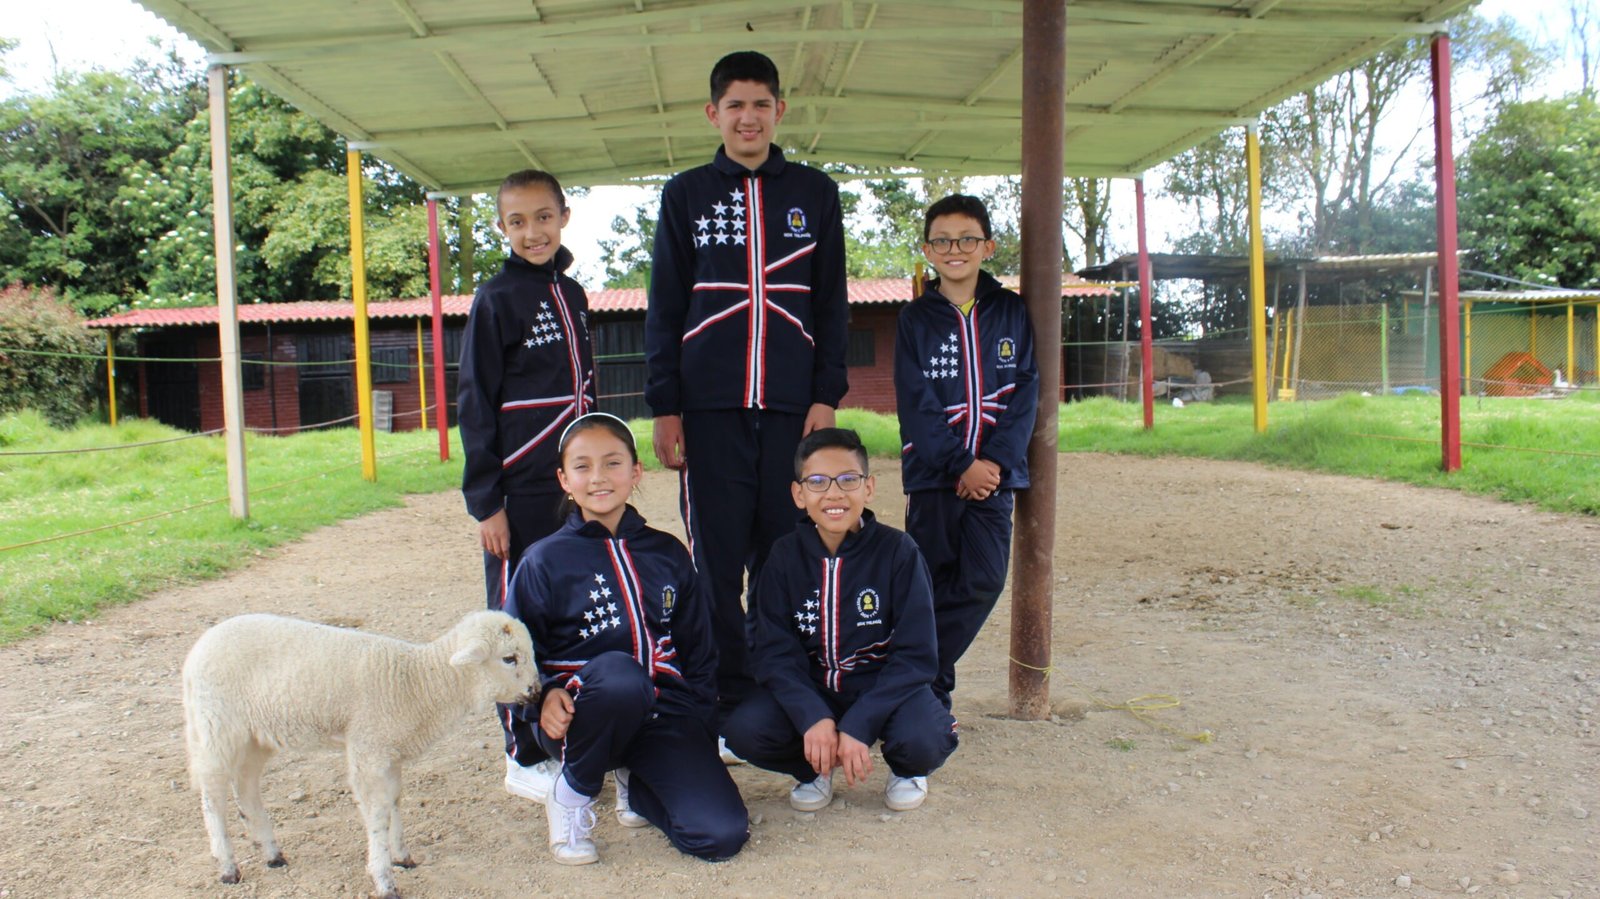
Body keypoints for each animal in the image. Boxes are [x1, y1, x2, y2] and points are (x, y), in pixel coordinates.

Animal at [183, 607, 537, 895]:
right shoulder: (370, 749)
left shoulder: (389, 752)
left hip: (255, 736)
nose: (536, 692)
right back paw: (227, 866)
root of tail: (199, 647)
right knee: (213, 796)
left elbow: (394, 801)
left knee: (246, 788)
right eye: (509, 658)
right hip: (216, 725)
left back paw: (272, 854)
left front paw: (402, 856)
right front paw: (384, 879)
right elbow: (377, 813)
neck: (421, 684)